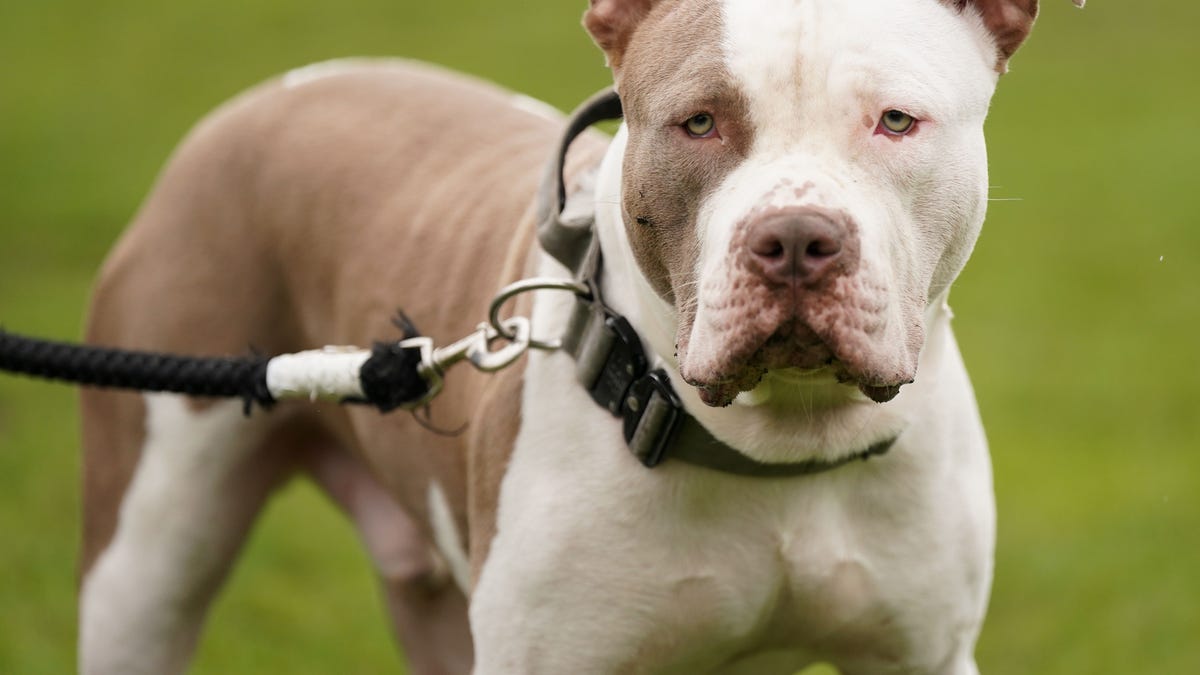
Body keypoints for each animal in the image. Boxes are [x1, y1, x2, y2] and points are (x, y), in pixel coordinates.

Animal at [79, 1, 1084, 672]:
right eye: (698, 121)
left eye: (896, 120)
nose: (797, 239)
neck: (778, 448)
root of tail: (272, 94)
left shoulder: (923, 650)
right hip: (144, 559)